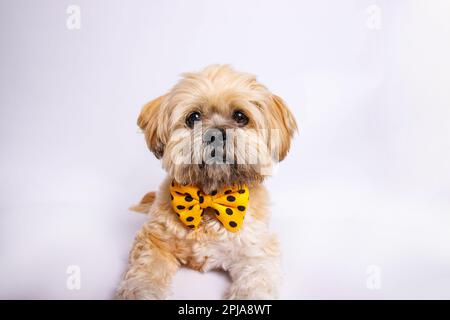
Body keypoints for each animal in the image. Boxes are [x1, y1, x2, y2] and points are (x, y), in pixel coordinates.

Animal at [118, 63, 298, 298]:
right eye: (193, 117)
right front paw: (142, 291)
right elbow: (145, 271)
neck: (210, 197)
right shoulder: (154, 241)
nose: (216, 134)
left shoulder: (257, 250)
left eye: (240, 116)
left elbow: (256, 282)